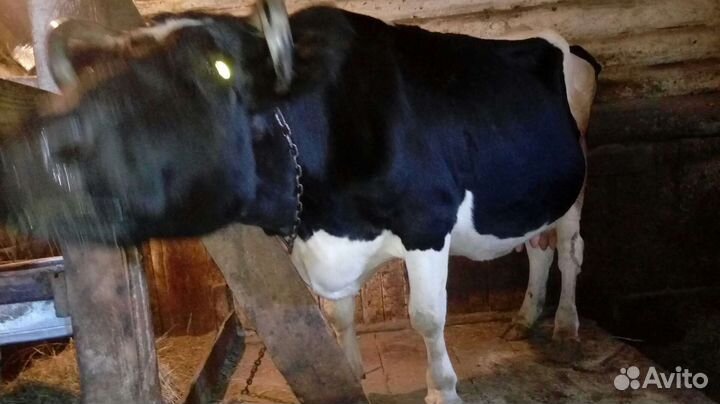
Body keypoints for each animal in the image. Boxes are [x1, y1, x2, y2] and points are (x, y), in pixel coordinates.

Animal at [0, 2, 600, 403]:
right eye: (95, 71)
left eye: (218, 71)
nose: (34, 157)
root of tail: (562, 41)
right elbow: (339, 315)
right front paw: (351, 375)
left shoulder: (427, 222)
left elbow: (427, 318)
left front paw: (442, 391)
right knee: (539, 249)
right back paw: (524, 318)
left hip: (575, 187)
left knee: (570, 252)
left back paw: (566, 327)